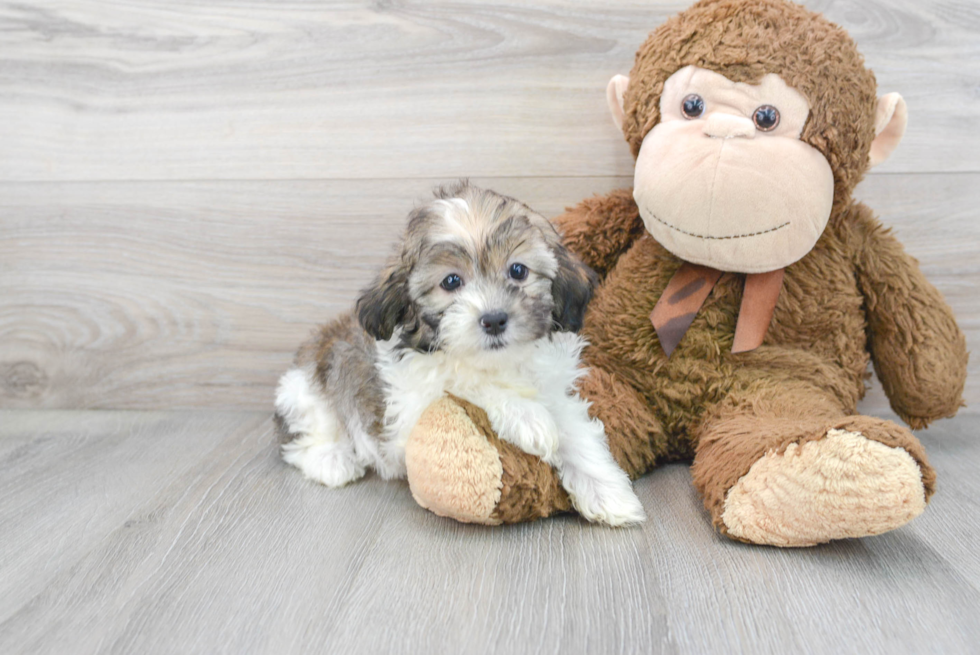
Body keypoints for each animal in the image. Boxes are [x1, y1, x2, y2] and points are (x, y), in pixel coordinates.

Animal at [272, 181, 648, 528]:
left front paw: (607, 492)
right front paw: (528, 418)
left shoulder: (555, 390)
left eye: (518, 271)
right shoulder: (411, 404)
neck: (498, 362)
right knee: (305, 437)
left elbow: (574, 431)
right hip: (304, 392)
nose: (494, 319)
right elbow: (462, 381)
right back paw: (332, 459)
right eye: (451, 281)